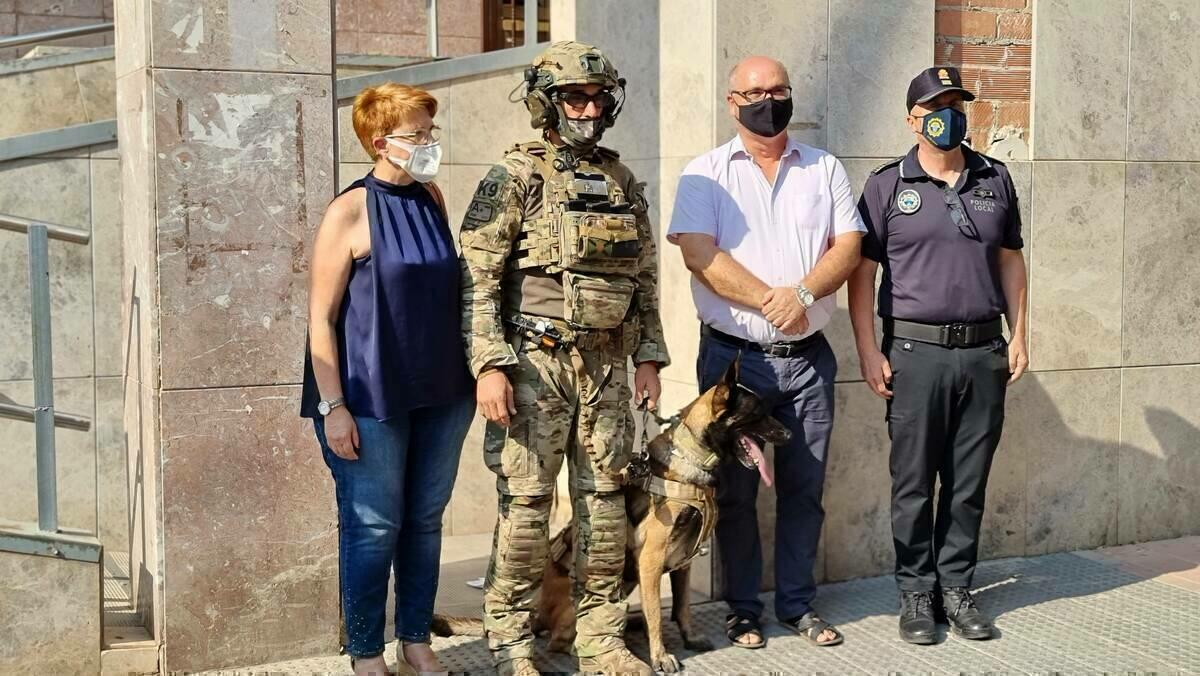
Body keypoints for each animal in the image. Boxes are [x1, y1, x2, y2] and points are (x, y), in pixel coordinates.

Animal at [436, 357, 792, 672]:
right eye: (758, 414)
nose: (789, 434)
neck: (692, 458)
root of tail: (537, 614)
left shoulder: (684, 562)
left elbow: (682, 606)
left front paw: (690, 637)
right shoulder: (651, 561)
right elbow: (656, 615)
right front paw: (661, 656)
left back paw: (626, 625)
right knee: (561, 639)